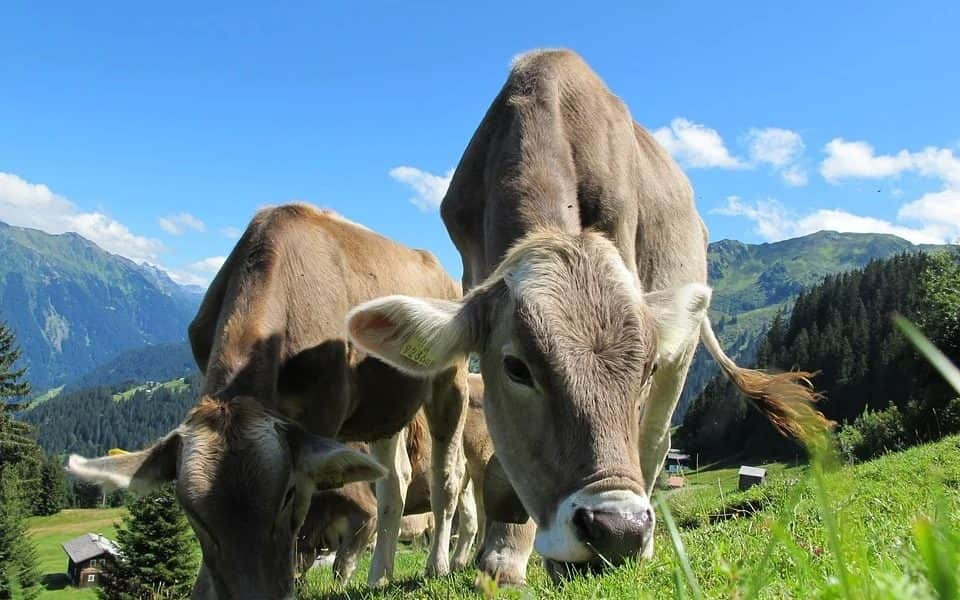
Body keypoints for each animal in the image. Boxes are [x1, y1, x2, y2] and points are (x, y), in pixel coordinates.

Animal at [65, 205, 470, 596]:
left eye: (287, 494)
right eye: (191, 512)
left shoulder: (322, 415)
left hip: (451, 380)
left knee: (447, 476)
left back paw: (439, 565)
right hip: (384, 409)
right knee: (394, 482)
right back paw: (379, 577)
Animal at [344, 50, 824, 576]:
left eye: (644, 368)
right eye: (516, 367)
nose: (619, 530)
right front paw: (504, 553)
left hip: (683, 351)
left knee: (655, 442)